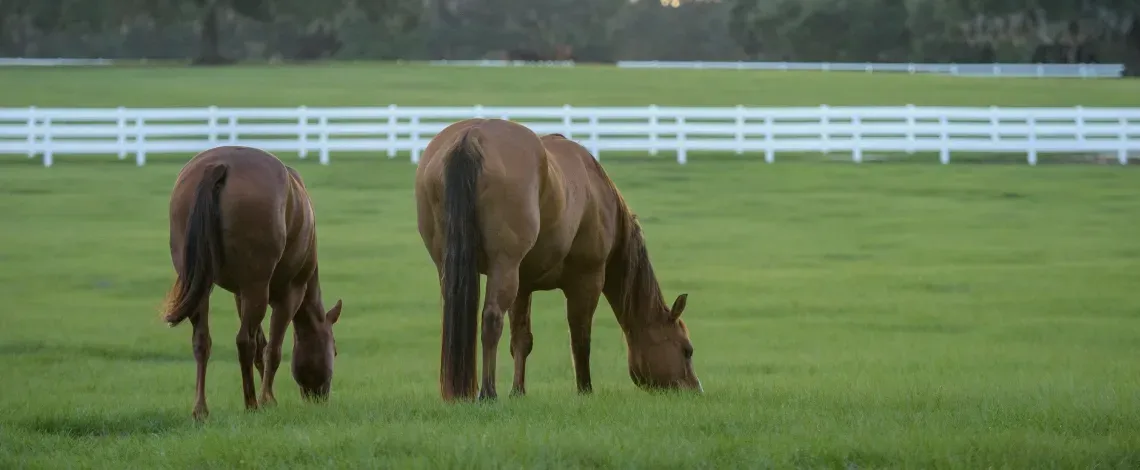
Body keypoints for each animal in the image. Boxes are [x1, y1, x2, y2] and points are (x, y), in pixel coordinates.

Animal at [160, 145, 344, 420]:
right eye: (334, 351)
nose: (320, 397)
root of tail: (220, 166)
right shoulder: (289, 293)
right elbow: (272, 349)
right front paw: (268, 399)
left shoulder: (242, 293)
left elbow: (261, 345)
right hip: (256, 287)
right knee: (243, 342)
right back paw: (251, 403)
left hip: (202, 285)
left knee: (202, 341)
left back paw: (201, 409)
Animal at [414, 118, 702, 401]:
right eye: (687, 349)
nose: (694, 390)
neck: (596, 190)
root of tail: (471, 137)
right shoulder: (587, 280)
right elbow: (580, 338)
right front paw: (585, 389)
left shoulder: (524, 285)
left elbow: (522, 339)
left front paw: (518, 391)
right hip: (503, 266)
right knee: (492, 319)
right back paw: (488, 392)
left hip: (452, 266)